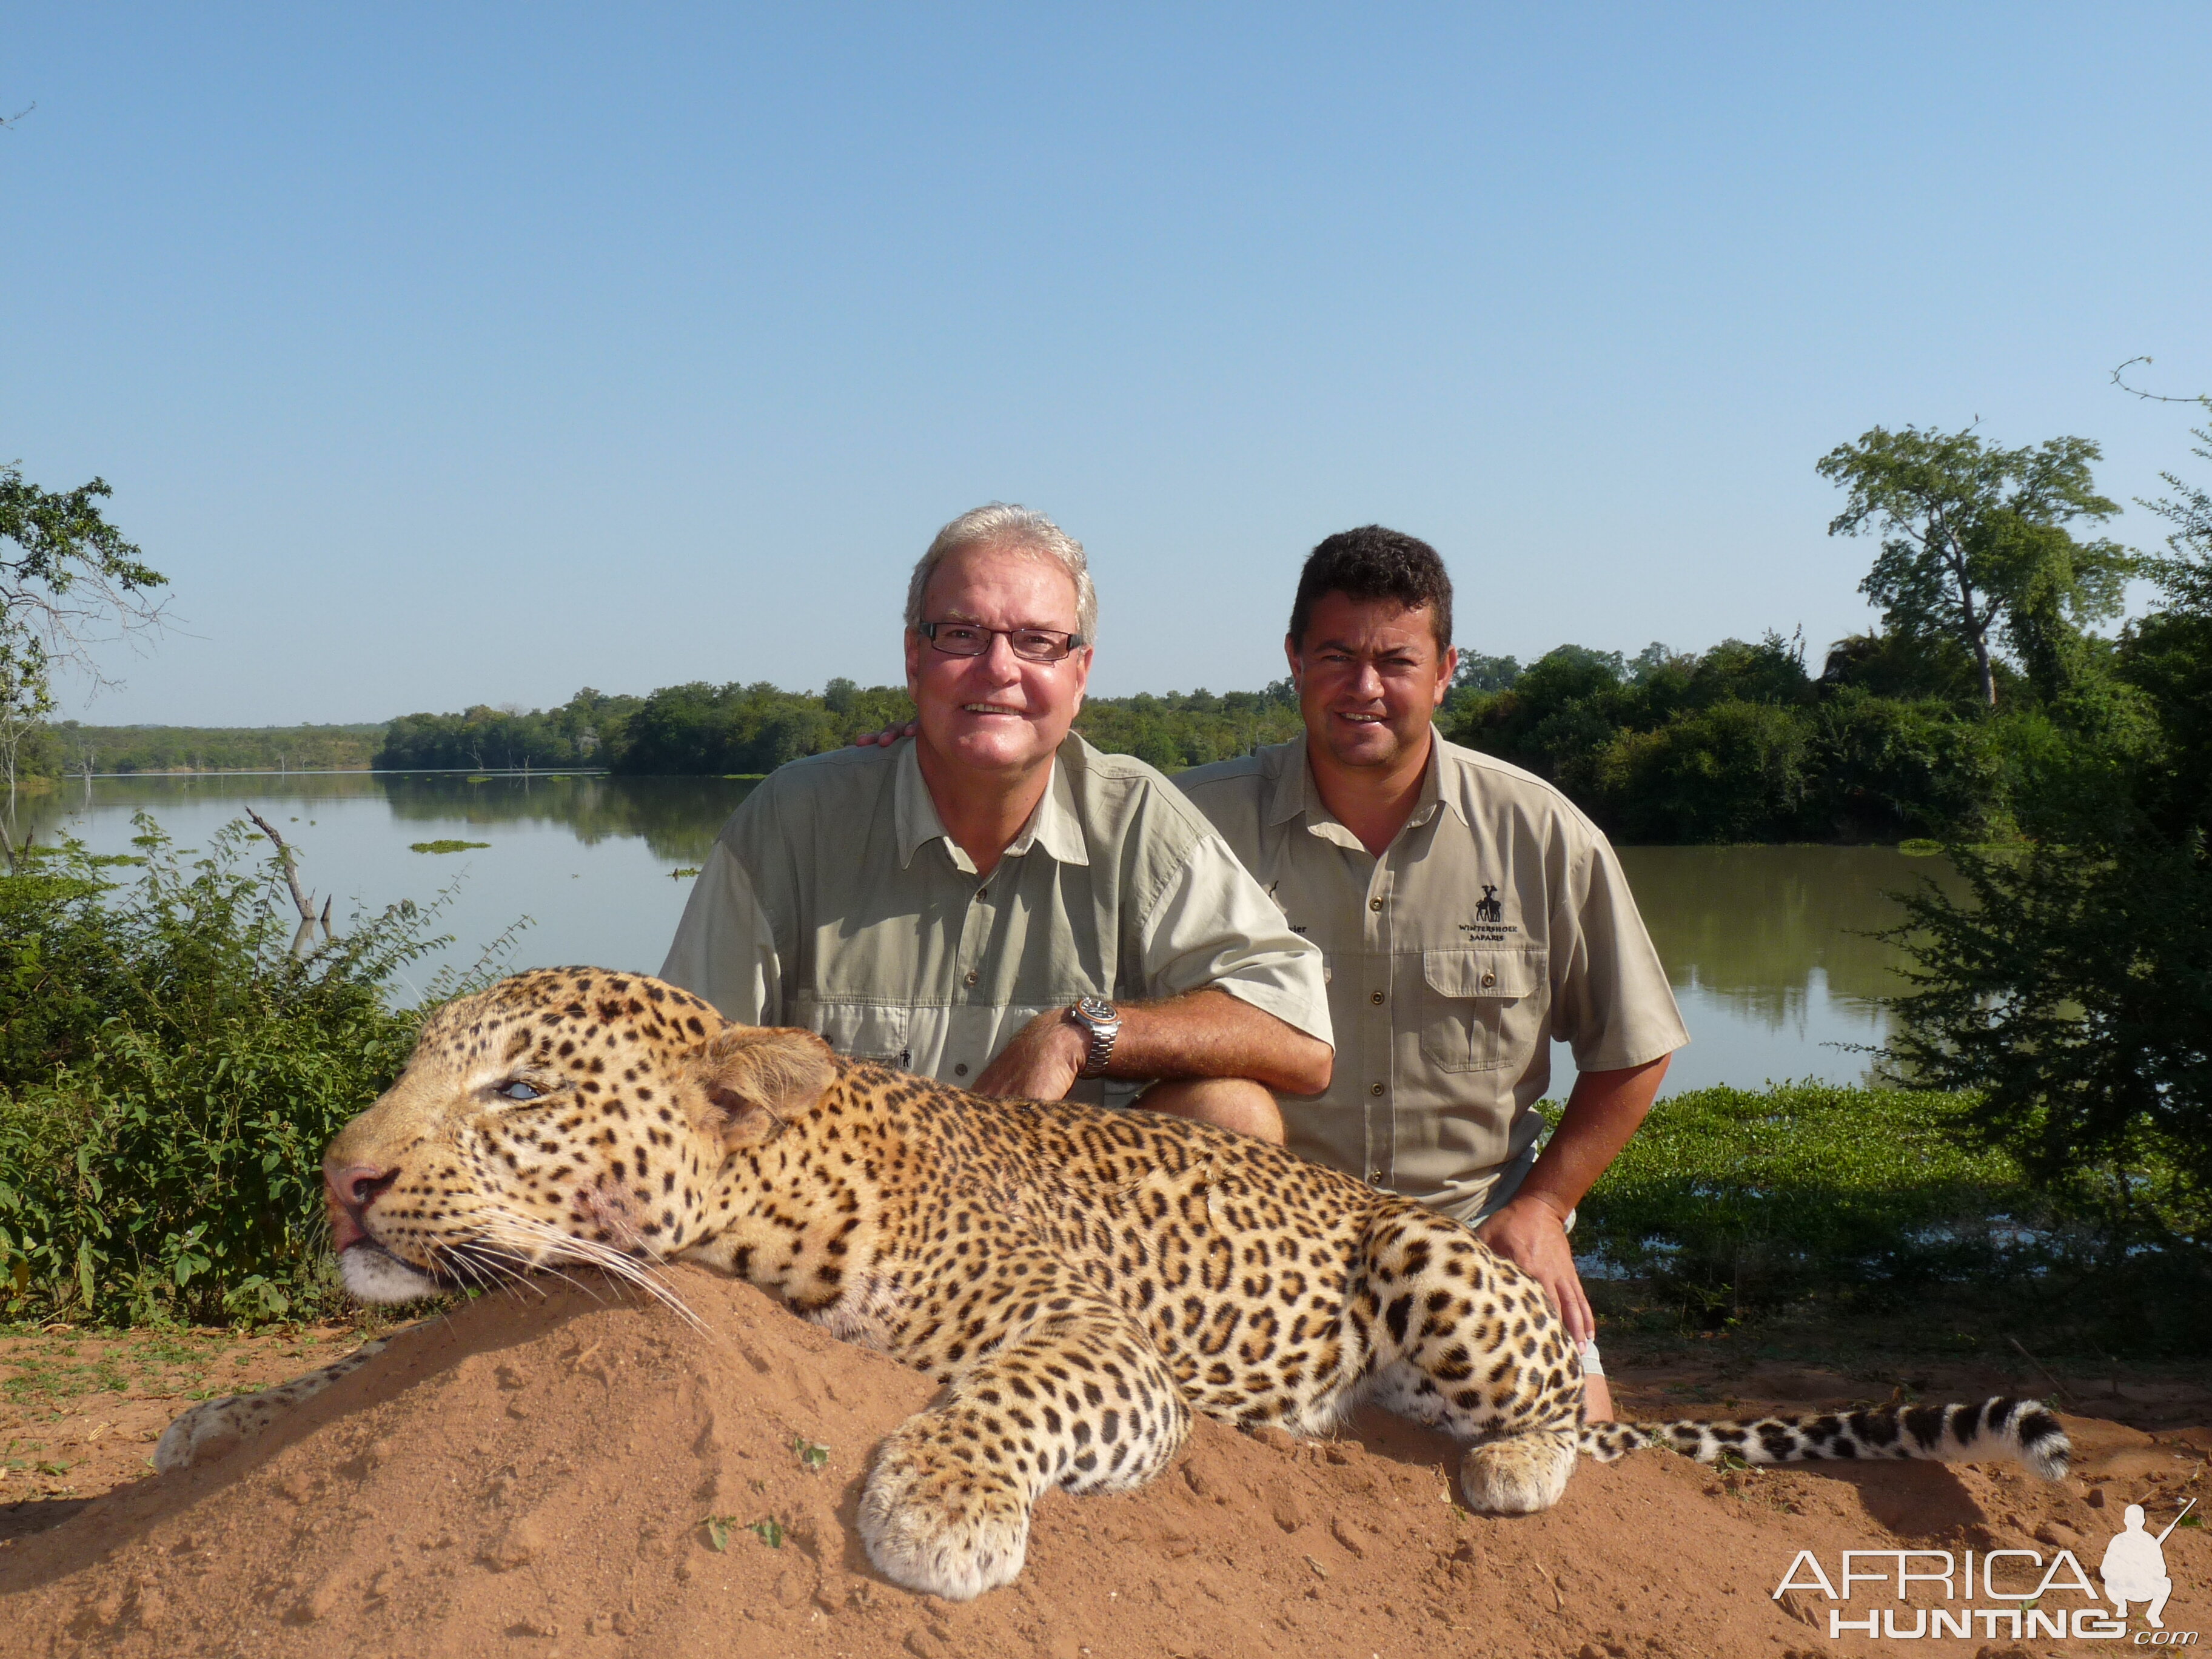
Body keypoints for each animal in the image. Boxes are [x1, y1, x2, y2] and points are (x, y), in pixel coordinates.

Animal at [160, 968, 2070, 1601]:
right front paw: (223, 1414)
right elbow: (344, 1370)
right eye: (414, 1067)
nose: (341, 1175)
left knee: (1545, 1400)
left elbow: (1004, 1398)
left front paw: (935, 1509)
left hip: (1430, 1256)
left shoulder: (1090, 1344)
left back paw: (1517, 1457)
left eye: (517, 1090)